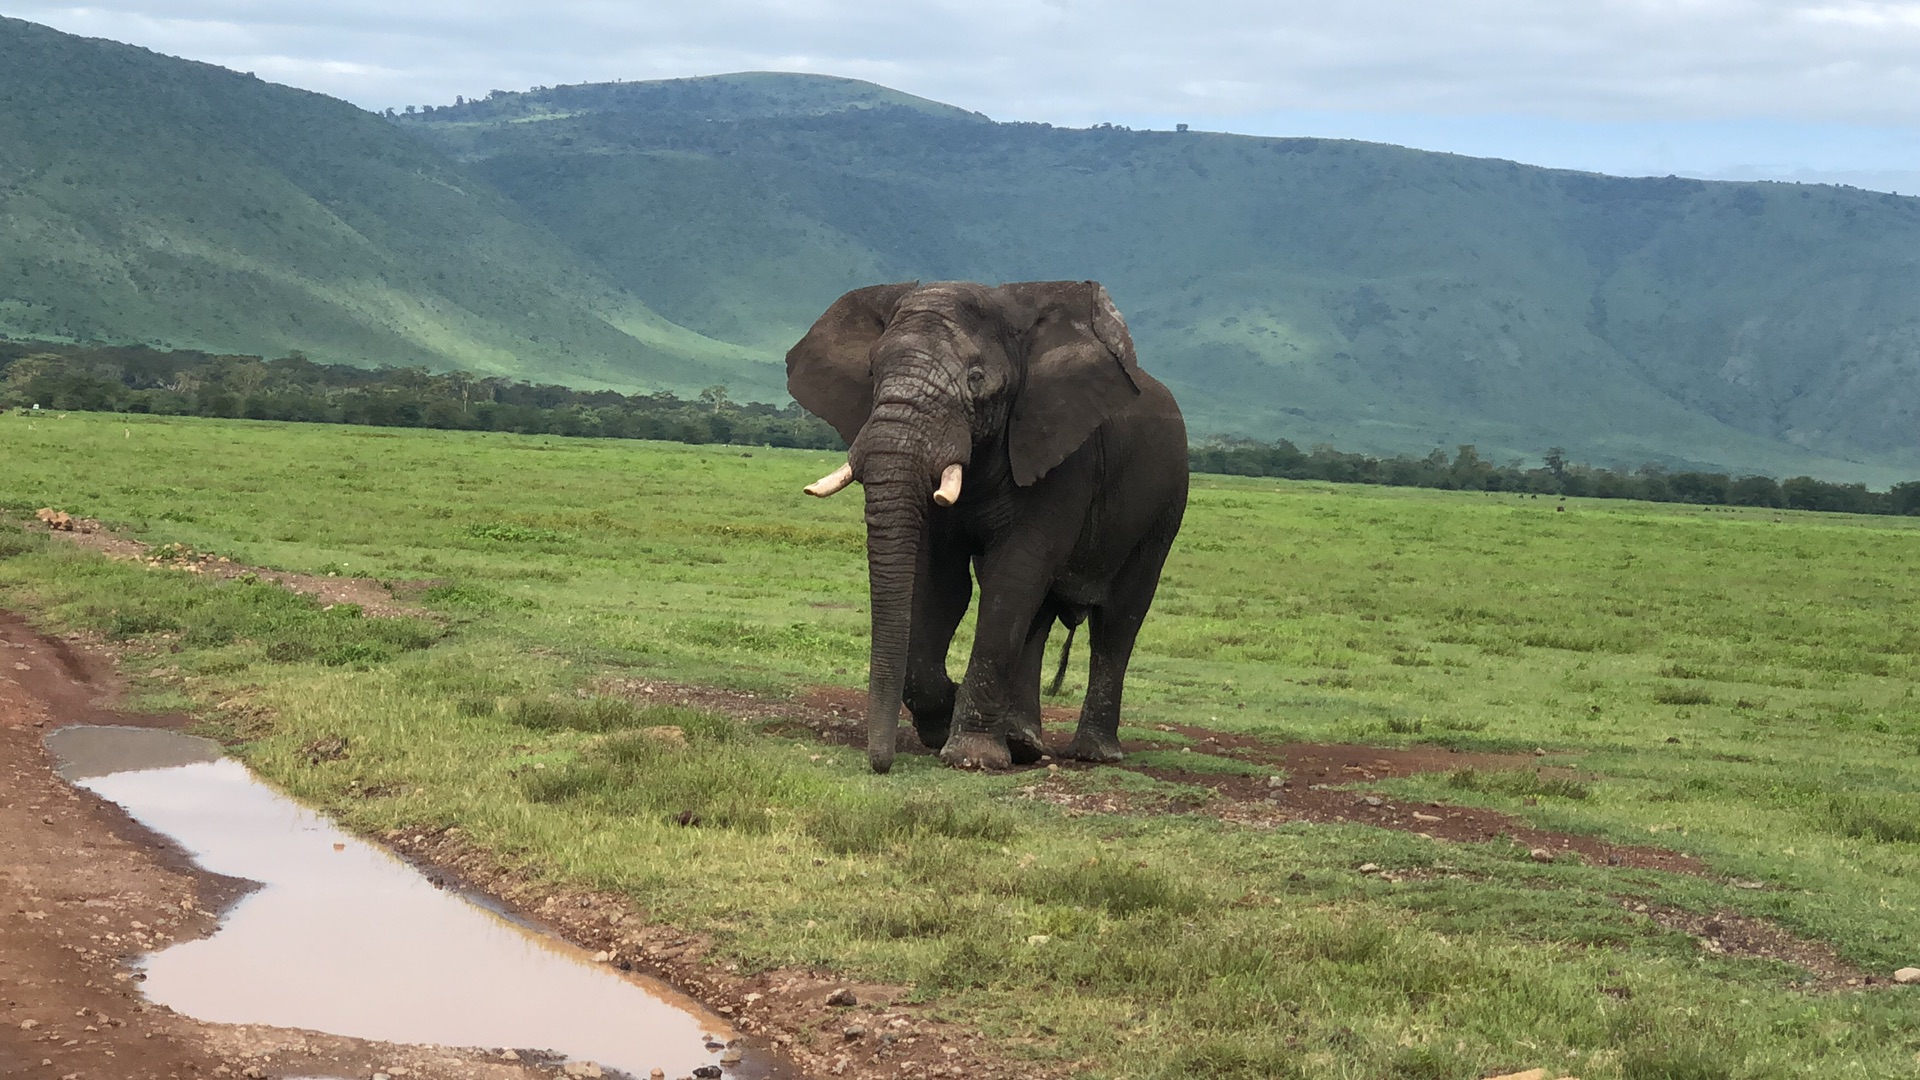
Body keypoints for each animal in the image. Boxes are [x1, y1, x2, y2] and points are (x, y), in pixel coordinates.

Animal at [783, 276, 1182, 764]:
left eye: (976, 380)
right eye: (873, 373)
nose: (880, 764)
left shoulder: (1063, 455)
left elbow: (1011, 578)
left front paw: (971, 758)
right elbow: (941, 582)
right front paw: (942, 722)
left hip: (1164, 509)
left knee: (1117, 621)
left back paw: (1093, 753)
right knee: (1040, 615)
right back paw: (1023, 743)